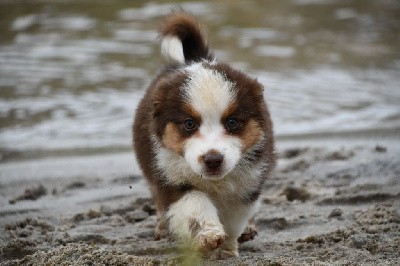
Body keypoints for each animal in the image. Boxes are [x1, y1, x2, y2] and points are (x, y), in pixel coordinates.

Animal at [134, 12, 276, 260]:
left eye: (232, 122)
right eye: (189, 124)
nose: (213, 160)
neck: (215, 182)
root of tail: (195, 59)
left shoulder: (247, 184)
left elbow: (234, 220)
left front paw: (227, 249)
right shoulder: (169, 178)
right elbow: (195, 203)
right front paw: (209, 235)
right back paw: (162, 227)